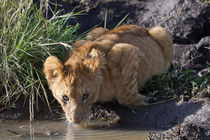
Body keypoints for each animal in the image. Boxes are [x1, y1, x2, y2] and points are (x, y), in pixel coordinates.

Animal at [42, 24, 172, 123]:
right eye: (65, 97)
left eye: (85, 96)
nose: (76, 120)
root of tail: (143, 28)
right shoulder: (76, 44)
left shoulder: (129, 50)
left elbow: (125, 94)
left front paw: (143, 99)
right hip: (94, 31)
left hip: (162, 32)